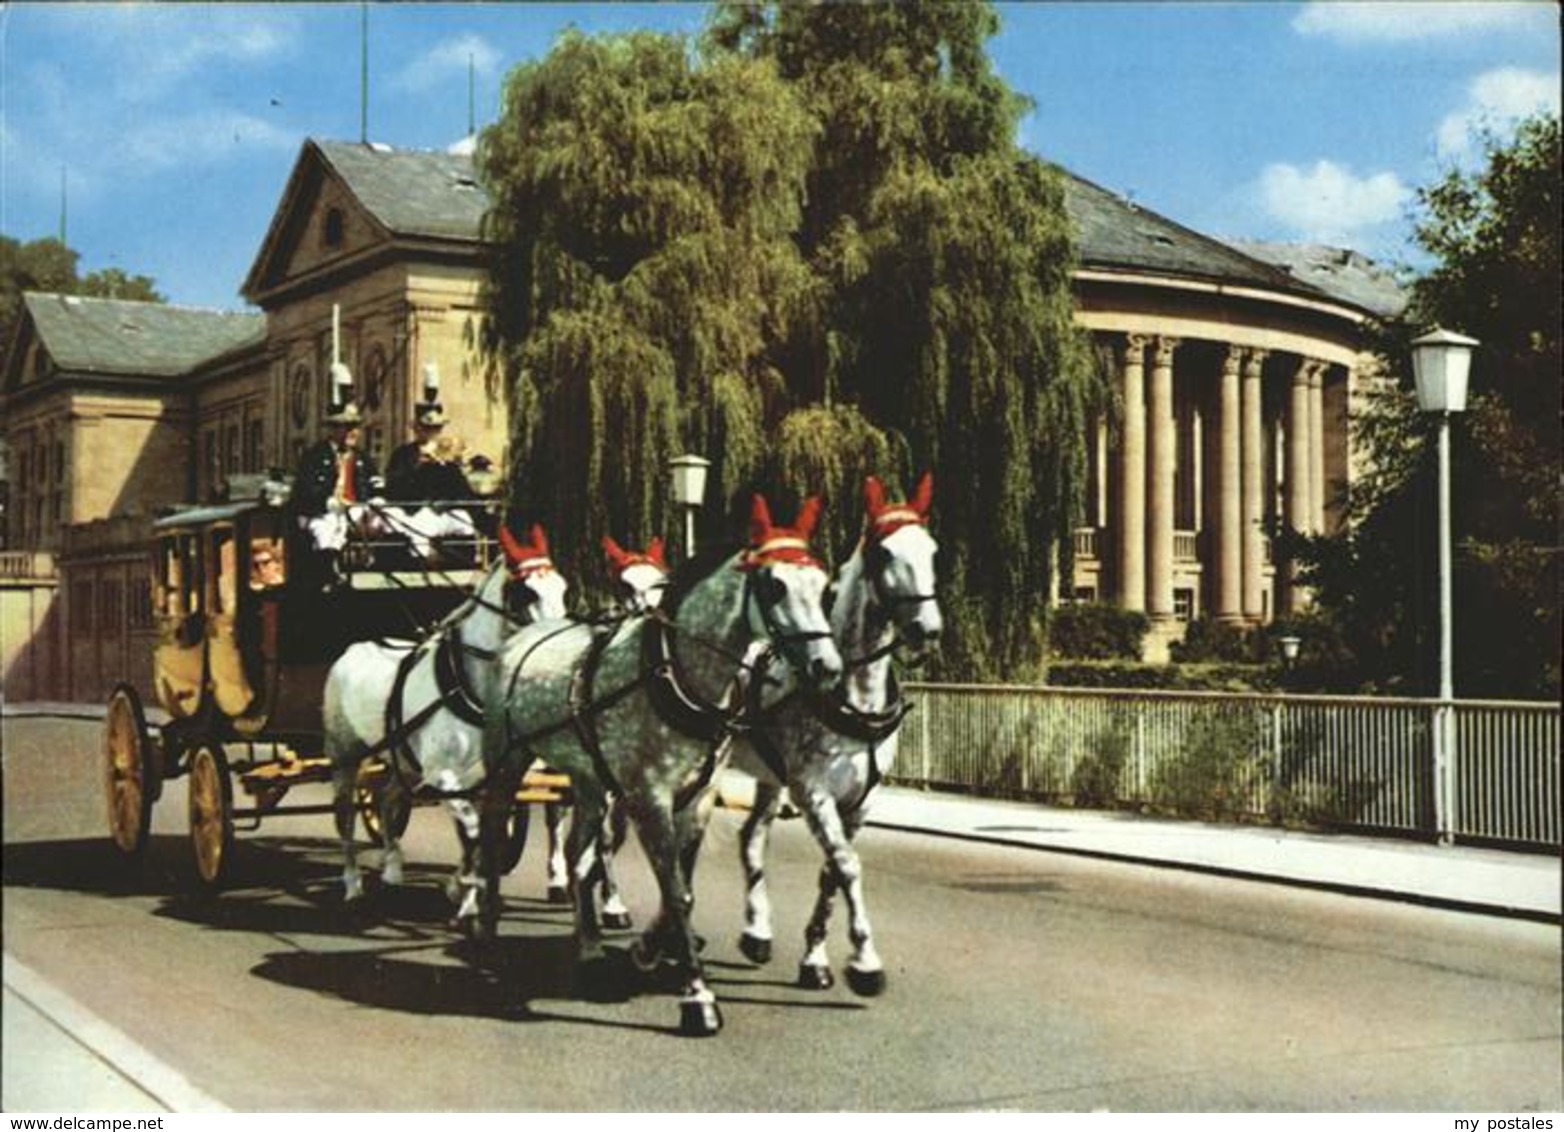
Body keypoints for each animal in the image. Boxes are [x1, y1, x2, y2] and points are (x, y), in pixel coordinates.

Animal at [323, 525, 569, 906]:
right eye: (526, 592)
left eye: (562, 587)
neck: (465, 684)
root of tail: (349, 652)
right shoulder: (443, 777)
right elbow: (471, 829)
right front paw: (463, 885)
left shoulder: (484, 777)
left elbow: (477, 831)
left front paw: (462, 882)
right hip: (344, 758)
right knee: (345, 816)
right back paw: (352, 882)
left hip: (403, 761)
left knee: (386, 797)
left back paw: (392, 866)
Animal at [481, 494, 844, 1031]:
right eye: (774, 584)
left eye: (823, 584)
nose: (828, 667)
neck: (674, 675)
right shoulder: (647, 798)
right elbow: (673, 891)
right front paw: (697, 997)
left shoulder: (698, 797)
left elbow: (683, 891)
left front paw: (654, 952)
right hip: (507, 761)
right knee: (490, 834)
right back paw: (481, 920)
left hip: (589, 780)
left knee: (576, 852)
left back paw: (589, 949)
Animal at [731, 472, 938, 994]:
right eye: (884, 553)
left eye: (932, 549)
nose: (927, 629)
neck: (853, 694)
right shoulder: (813, 792)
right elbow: (847, 865)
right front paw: (865, 960)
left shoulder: (859, 802)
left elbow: (831, 873)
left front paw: (814, 957)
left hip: (769, 775)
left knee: (751, 835)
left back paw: (756, 931)